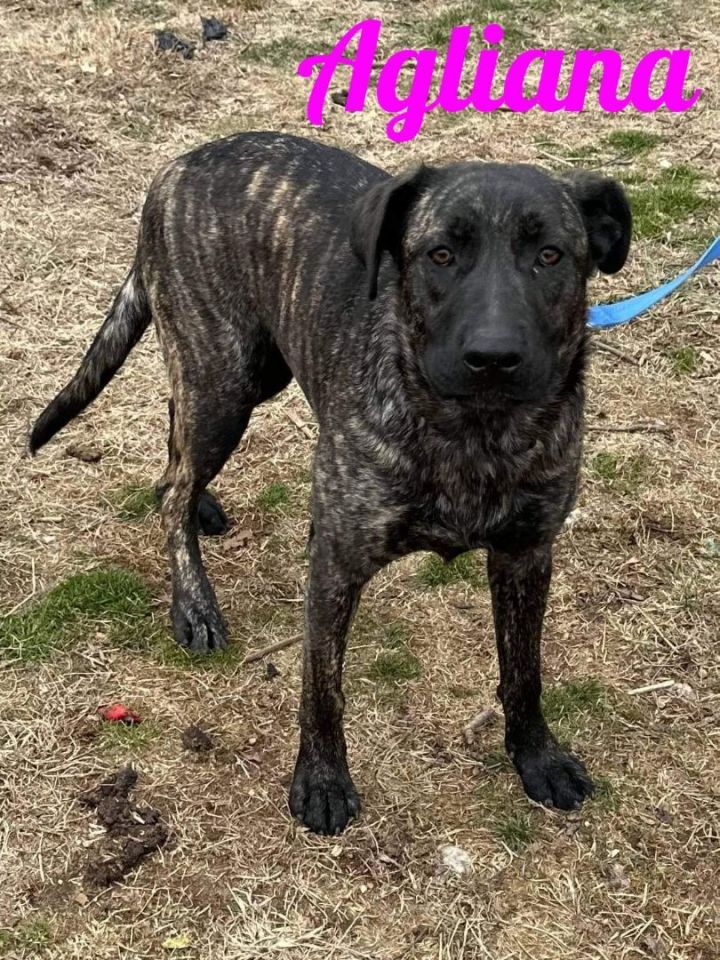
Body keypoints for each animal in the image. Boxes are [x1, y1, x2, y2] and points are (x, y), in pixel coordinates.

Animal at [32, 131, 632, 836]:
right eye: (440, 254)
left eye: (550, 255)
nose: (493, 356)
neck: (473, 431)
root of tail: (178, 166)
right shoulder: (336, 562)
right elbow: (322, 685)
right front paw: (321, 779)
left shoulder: (527, 555)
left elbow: (524, 670)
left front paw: (537, 757)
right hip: (225, 379)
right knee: (176, 486)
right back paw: (194, 600)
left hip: (248, 374)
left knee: (177, 441)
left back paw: (196, 502)